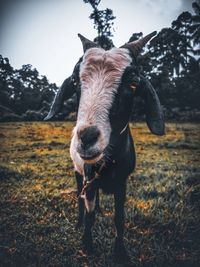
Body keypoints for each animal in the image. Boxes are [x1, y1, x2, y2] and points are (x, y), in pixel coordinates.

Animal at [44, 31, 165, 264]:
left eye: (133, 84)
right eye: (75, 81)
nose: (86, 138)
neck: (109, 161)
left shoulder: (121, 182)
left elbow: (119, 218)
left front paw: (120, 252)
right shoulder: (88, 178)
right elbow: (89, 214)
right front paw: (87, 244)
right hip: (78, 173)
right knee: (80, 198)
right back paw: (79, 221)